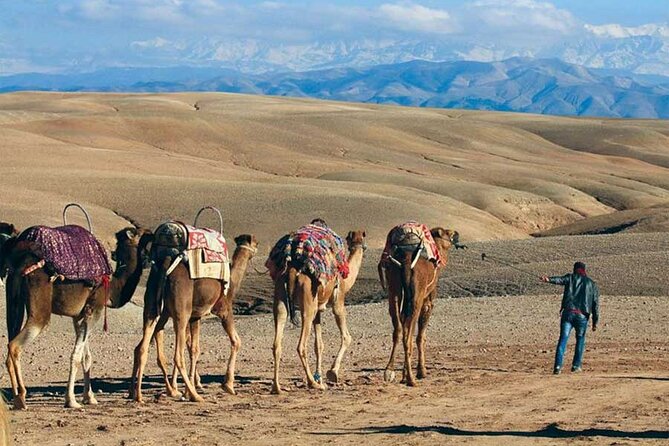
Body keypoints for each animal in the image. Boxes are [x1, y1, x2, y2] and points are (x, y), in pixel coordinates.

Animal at [3, 227, 152, 409]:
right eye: (139, 232)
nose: (150, 231)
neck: (113, 286)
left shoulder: (79, 315)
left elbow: (86, 357)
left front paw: (90, 397)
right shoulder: (95, 309)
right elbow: (76, 355)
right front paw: (71, 400)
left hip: (14, 302)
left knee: (10, 342)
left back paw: (16, 397)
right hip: (40, 309)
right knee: (14, 345)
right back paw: (21, 396)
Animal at [130, 234, 258, 403]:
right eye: (256, 243)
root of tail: (166, 265)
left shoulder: (195, 316)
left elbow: (194, 349)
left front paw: (189, 388)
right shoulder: (224, 310)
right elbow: (236, 341)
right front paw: (227, 385)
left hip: (153, 307)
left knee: (142, 347)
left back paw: (137, 394)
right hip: (180, 312)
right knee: (177, 355)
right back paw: (194, 396)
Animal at [271, 229, 366, 394]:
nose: (362, 246)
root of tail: (292, 271)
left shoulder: (318, 311)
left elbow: (319, 345)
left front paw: (320, 377)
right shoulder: (338, 302)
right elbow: (347, 337)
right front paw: (332, 373)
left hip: (281, 295)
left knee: (277, 342)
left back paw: (277, 387)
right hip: (307, 303)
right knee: (301, 345)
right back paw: (313, 384)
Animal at [380, 227, 461, 387]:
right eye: (448, 233)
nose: (456, 233)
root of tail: (406, 262)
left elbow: (405, 326)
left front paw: (403, 374)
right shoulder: (427, 300)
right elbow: (420, 336)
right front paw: (421, 371)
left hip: (394, 288)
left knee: (399, 329)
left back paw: (389, 371)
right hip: (417, 295)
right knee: (408, 334)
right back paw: (411, 379)